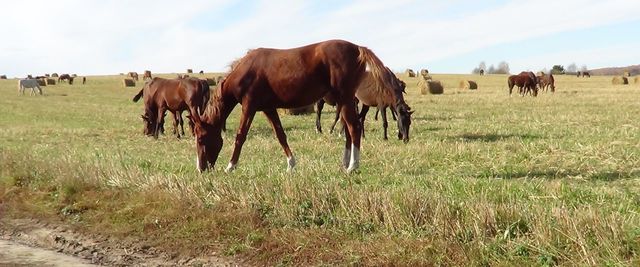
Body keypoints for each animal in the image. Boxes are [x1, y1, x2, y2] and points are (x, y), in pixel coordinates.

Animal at [190, 39, 412, 174]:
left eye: (201, 139)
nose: (201, 168)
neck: (246, 71)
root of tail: (357, 48)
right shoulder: (268, 108)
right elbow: (280, 135)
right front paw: (291, 164)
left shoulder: (249, 106)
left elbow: (240, 136)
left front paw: (230, 166)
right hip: (344, 101)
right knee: (349, 130)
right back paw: (345, 163)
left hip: (346, 99)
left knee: (354, 128)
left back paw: (352, 166)